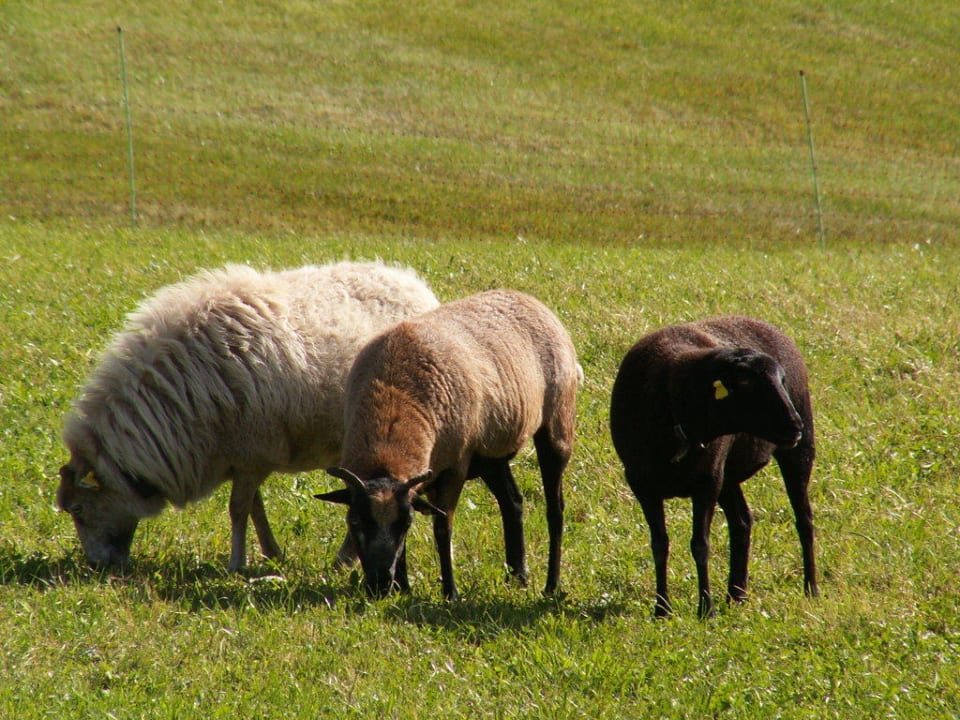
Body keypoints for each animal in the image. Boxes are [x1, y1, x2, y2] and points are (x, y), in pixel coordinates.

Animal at [56, 260, 439, 571]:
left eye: (78, 510)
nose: (98, 566)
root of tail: (412, 283)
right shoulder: (243, 457)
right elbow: (254, 506)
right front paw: (271, 552)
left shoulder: (253, 451)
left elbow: (237, 509)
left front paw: (237, 563)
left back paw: (344, 560)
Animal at [316, 289, 580, 600]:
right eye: (354, 521)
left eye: (405, 524)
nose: (380, 585)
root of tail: (527, 298)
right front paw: (404, 590)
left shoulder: (454, 468)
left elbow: (443, 528)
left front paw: (450, 593)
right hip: (490, 453)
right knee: (512, 502)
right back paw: (518, 576)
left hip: (557, 426)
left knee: (555, 509)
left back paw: (551, 585)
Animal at [609, 316, 818, 618]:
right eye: (746, 383)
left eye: (781, 381)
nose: (795, 426)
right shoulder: (642, 484)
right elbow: (659, 544)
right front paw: (662, 609)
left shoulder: (707, 482)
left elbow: (700, 545)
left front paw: (705, 609)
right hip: (727, 475)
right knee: (742, 522)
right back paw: (736, 595)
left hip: (796, 453)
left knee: (804, 520)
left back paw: (811, 589)